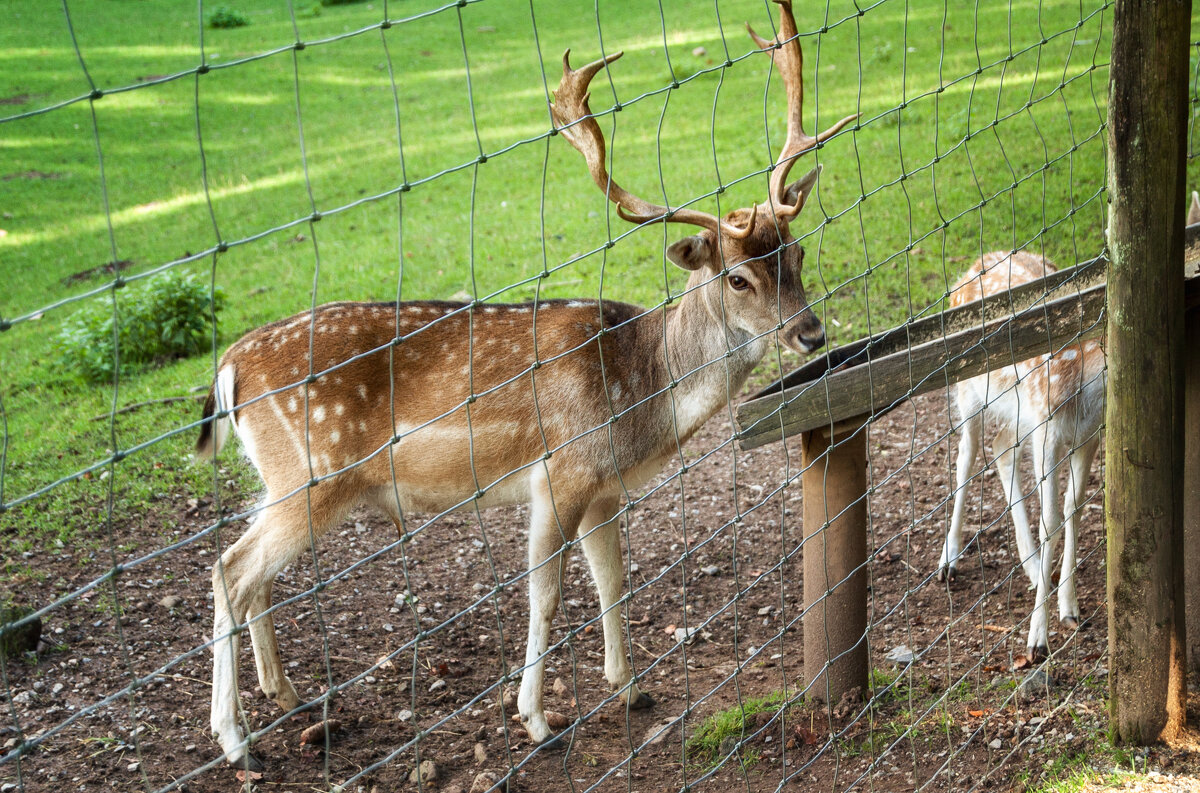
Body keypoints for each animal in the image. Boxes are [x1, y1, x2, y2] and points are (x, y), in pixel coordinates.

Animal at [194, 0, 854, 767]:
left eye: (797, 254)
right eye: (738, 278)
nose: (811, 333)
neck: (645, 395)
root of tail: (229, 366)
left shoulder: (604, 487)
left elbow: (612, 578)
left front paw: (631, 689)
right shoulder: (559, 472)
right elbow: (545, 594)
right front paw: (536, 719)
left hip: (280, 477)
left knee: (252, 573)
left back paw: (287, 696)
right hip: (313, 471)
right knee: (229, 569)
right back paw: (235, 739)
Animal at [936, 250, 1104, 657]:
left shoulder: (1088, 433)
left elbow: (1074, 508)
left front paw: (1070, 609)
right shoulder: (1047, 427)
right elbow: (1051, 521)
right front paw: (1037, 640)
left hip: (1017, 409)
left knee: (1000, 448)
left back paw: (1031, 567)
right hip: (969, 388)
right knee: (967, 456)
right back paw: (948, 560)